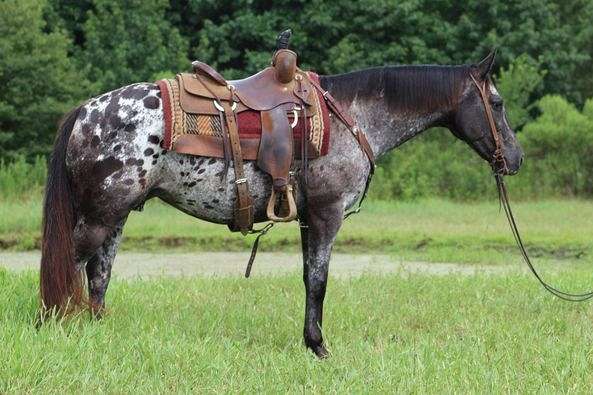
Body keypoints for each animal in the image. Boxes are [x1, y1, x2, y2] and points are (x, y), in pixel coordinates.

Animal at [40, 50, 524, 358]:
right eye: (498, 102)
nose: (515, 158)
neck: (353, 116)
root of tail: (85, 111)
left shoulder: (308, 219)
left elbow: (309, 280)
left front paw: (310, 341)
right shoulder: (327, 215)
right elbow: (320, 282)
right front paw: (319, 347)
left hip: (115, 215)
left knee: (99, 276)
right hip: (99, 216)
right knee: (70, 266)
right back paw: (53, 325)